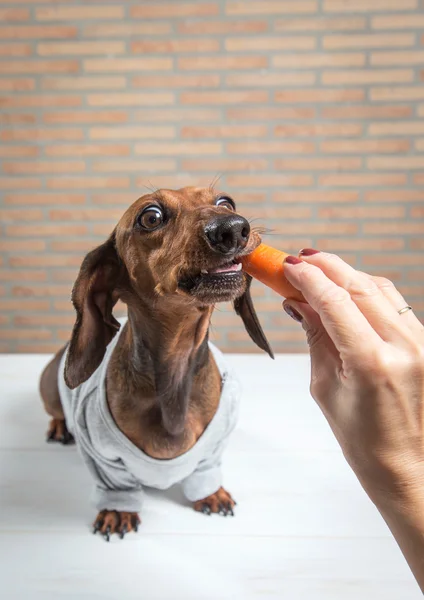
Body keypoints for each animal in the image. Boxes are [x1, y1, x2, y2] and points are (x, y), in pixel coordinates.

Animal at [39, 186, 272, 540]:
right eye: (151, 217)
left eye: (226, 202)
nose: (232, 229)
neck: (175, 371)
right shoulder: (102, 457)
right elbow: (116, 486)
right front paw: (118, 512)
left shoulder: (215, 446)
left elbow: (206, 469)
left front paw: (211, 494)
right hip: (50, 385)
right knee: (54, 409)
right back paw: (58, 426)